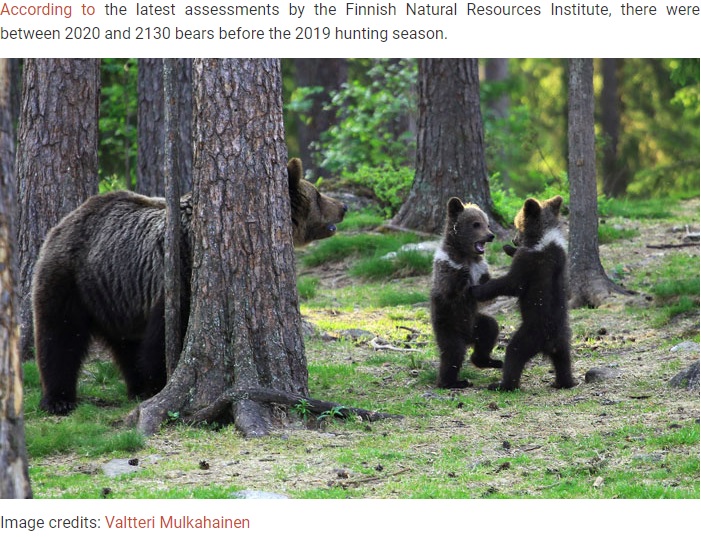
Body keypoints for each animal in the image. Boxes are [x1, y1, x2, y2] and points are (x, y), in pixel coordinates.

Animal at [34, 157, 346, 412]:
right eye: (319, 195)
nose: (343, 206)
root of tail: (66, 219)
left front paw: (151, 385)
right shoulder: (179, 276)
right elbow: (164, 337)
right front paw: (160, 383)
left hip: (116, 294)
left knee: (125, 344)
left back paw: (135, 387)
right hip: (72, 278)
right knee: (60, 335)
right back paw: (59, 399)